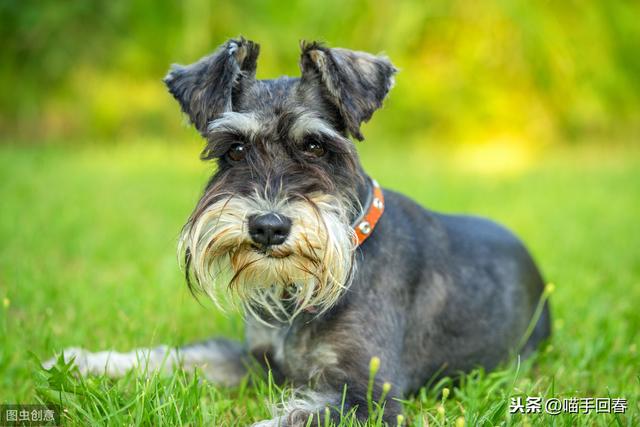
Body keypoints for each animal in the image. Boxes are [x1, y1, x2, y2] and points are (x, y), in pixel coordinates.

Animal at [46, 38, 552, 426]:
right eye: (234, 149)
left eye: (315, 146)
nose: (267, 227)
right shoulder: (256, 361)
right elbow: (176, 355)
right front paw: (83, 361)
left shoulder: (367, 397)